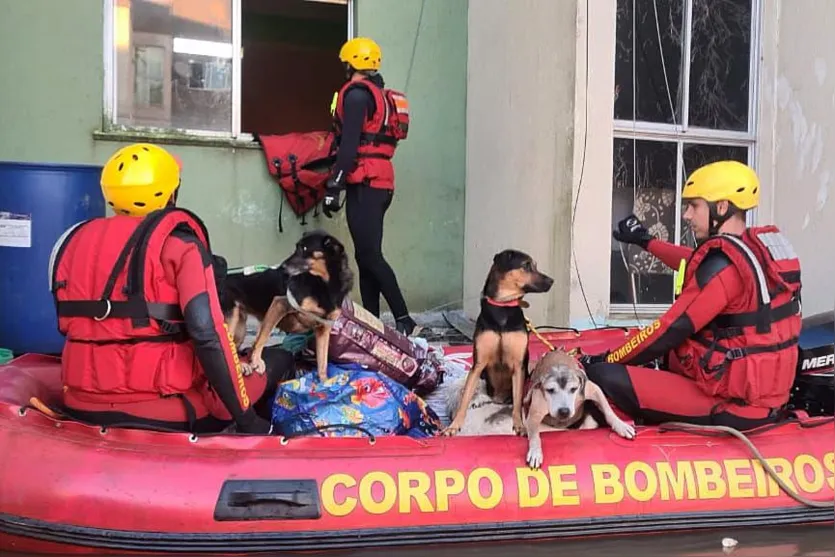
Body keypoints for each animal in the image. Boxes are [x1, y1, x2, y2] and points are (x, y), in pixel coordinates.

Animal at [216, 228, 352, 380]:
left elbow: (323, 363)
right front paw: (256, 361)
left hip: (240, 327)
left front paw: (325, 382)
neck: (325, 283)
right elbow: (261, 338)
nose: (282, 267)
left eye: (304, 249)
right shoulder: (279, 304)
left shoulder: (324, 328)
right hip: (231, 320)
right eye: (297, 247)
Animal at [444, 250, 556, 436]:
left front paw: (519, 425)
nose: (552, 281)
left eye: (535, 265)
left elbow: (517, 402)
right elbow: (466, 396)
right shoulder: (478, 364)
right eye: (526, 265)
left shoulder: (518, 366)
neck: (504, 306)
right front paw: (454, 425)